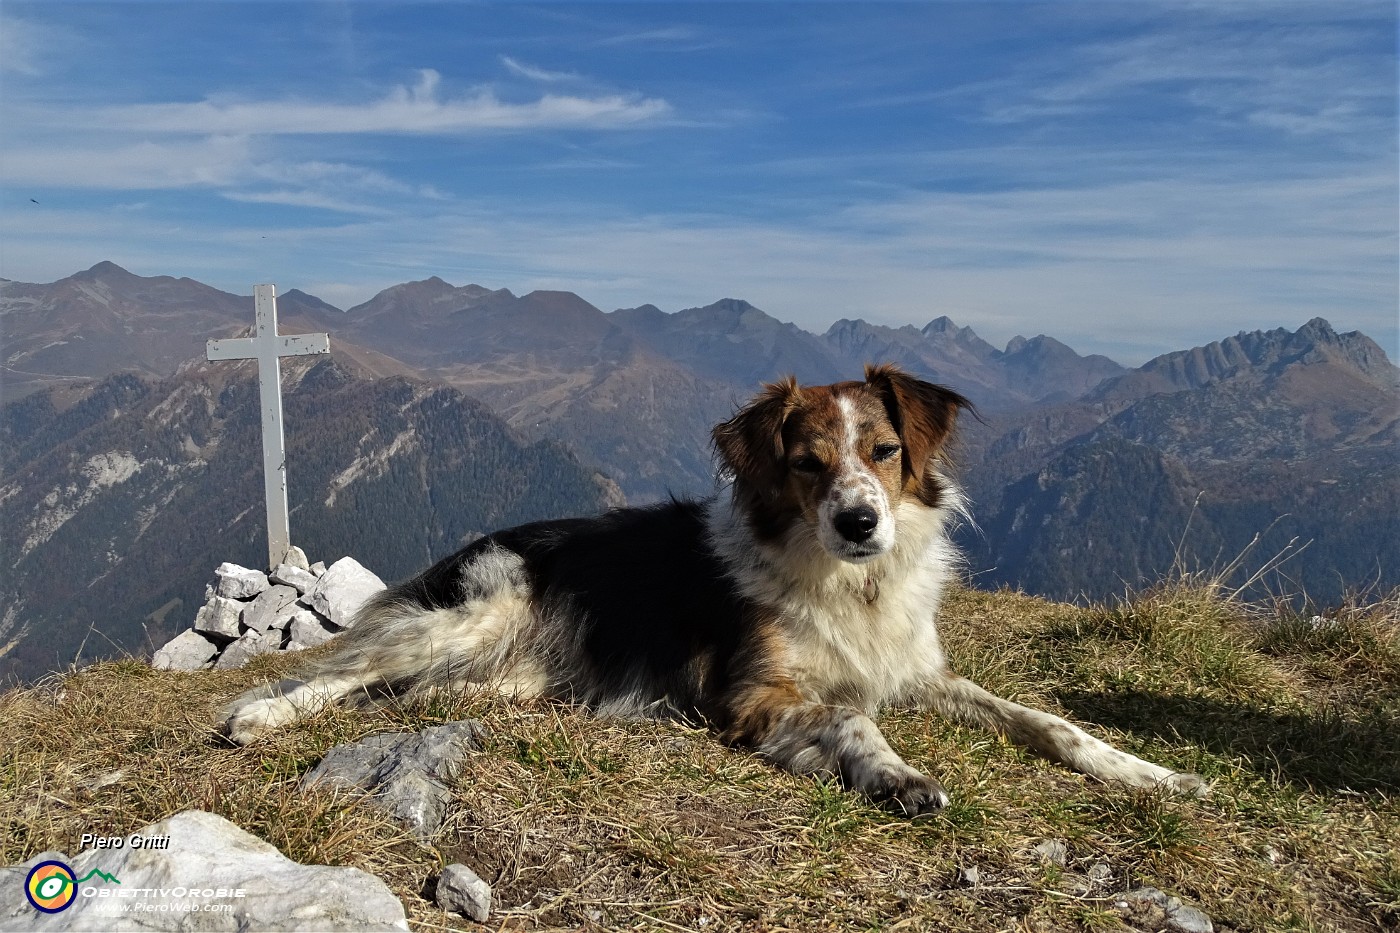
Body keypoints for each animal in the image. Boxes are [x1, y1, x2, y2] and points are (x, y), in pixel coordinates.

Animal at [221, 358, 1204, 812]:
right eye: (806, 463)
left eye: (886, 451)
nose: (861, 522)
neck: (850, 587)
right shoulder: (750, 693)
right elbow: (853, 718)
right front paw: (896, 774)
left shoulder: (918, 671)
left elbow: (1049, 719)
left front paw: (1150, 771)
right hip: (474, 613)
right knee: (339, 671)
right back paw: (258, 716)